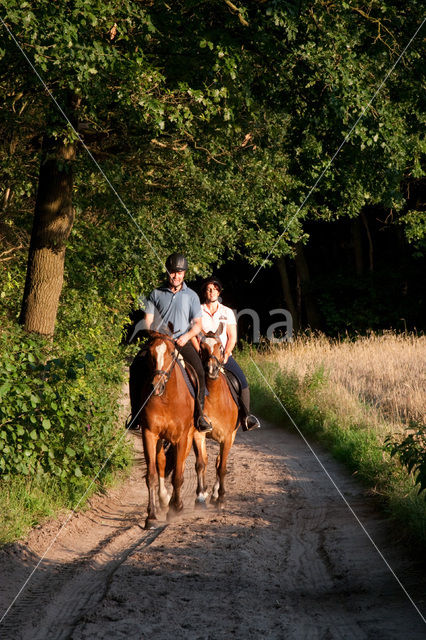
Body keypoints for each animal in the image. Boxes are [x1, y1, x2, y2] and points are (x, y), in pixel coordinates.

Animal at [136, 332, 196, 528]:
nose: (156, 385)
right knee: (162, 461)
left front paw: (175, 507)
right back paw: (164, 499)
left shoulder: (182, 437)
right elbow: (152, 475)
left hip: (190, 435)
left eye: (171, 353)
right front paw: (151, 516)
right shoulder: (149, 434)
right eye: (150, 354)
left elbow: (177, 474)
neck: (167, 398)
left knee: (181, 466)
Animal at [193, 324, 240, 510]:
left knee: (220, 462)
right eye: (202, 347)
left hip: (232, 436)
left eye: (220, 347)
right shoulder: (198, 434)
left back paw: (215, 494)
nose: (211, 369)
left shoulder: (226, 438)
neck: (214, 397)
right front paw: (200, 496)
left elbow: (222, 468)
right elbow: (201, 464)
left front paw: (221, 498)